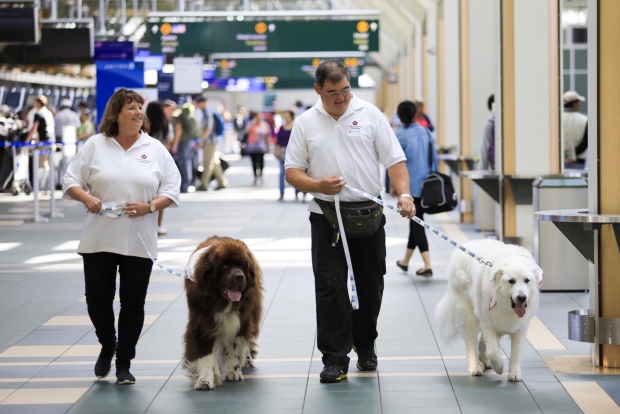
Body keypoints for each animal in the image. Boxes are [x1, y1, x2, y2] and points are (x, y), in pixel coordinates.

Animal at [183, 234, 262, 390]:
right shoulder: (202, 322)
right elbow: (205, 354)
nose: (240, 276)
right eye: (225, 266)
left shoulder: (240, 320)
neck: (221, 301)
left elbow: (234, 347)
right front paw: (205, 380)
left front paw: (233, 372)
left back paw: (246, 359)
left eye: (242, 265)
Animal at [436, 239, 544, 382]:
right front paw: (499, 367)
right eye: (511, 281)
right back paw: (476, 367)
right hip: (468, 316)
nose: (521, 297)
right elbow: (493, 351)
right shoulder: (489, 325)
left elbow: (515, 353)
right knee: (471, 344)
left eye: (527, 280)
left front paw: (514, 373)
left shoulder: (520, 327)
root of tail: (466, 245)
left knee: (481, 343)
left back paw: (484, 361)